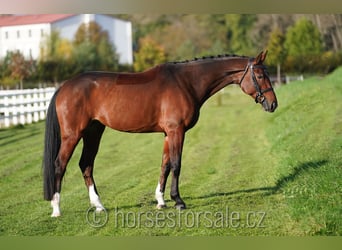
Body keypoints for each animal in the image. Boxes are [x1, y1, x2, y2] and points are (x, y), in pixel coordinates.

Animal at [43, 50, 278, 217]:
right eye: (259, 75)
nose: (273, 104)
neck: (186, 82)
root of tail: (64, 87)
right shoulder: (176, 131)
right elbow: (176, 164)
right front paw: (178, 201)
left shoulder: (168, 134)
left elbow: (165, 165)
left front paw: (161, 201)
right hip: (72, 135)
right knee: (59, 164)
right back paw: (56, 209)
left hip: (93, 132)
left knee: (86, 165)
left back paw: (99, 205)